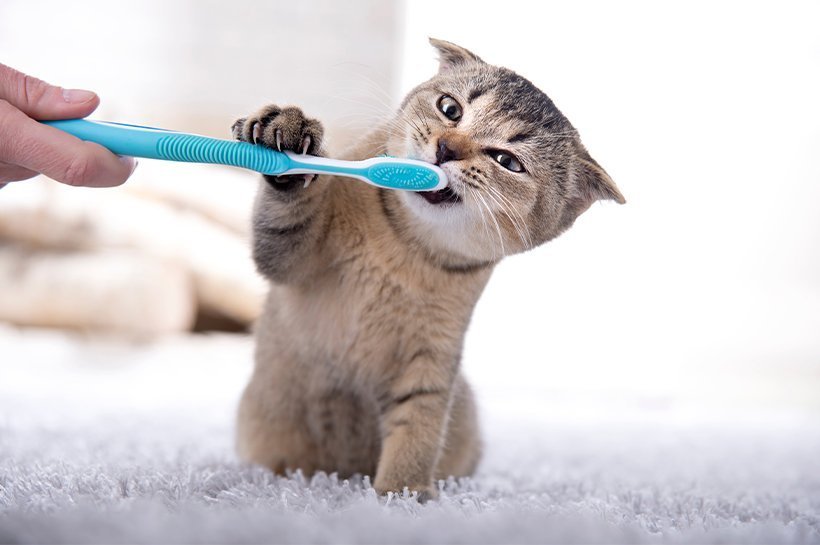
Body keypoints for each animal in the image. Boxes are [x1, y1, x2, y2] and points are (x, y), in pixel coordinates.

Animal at [231, 38, 620, 502]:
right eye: (450, 109)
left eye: (507, 161)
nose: (447, 148)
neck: (405, 247)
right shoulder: (289, 261)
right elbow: (286, 220)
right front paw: (289, 140)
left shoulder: (431, 357)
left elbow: (419, 426)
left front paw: (402, 493)